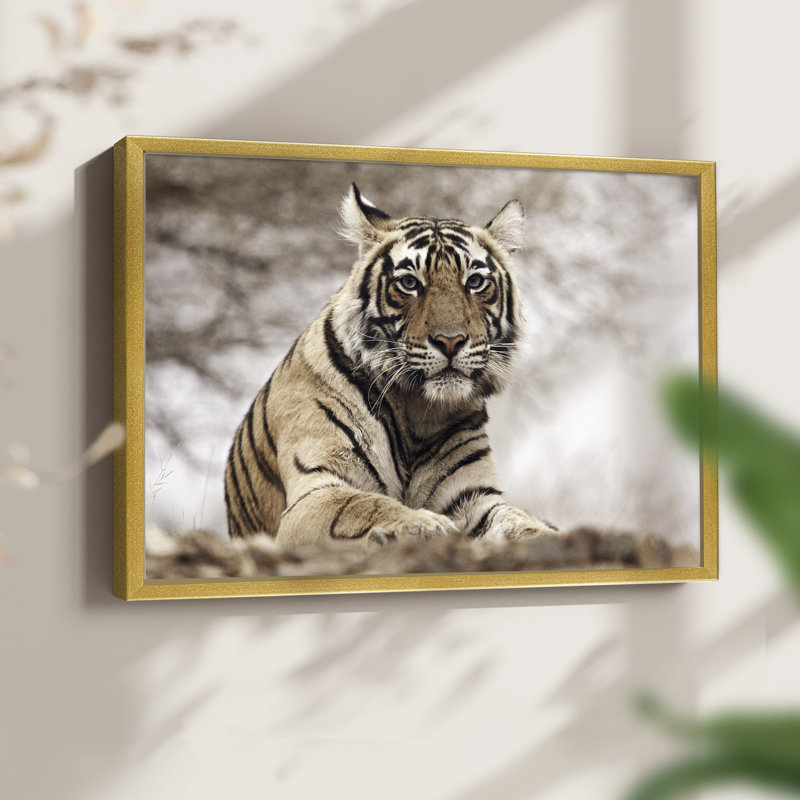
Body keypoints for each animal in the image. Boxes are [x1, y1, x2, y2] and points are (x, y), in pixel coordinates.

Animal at [224, 184, 555, 547]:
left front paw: (544, 534)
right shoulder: (315, 491)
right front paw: (426, 524)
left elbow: (515, 519)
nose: (450, 341)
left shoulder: (473, 495)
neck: (419, 412)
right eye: (409, 283)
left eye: (475, 282)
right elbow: (364, 505)